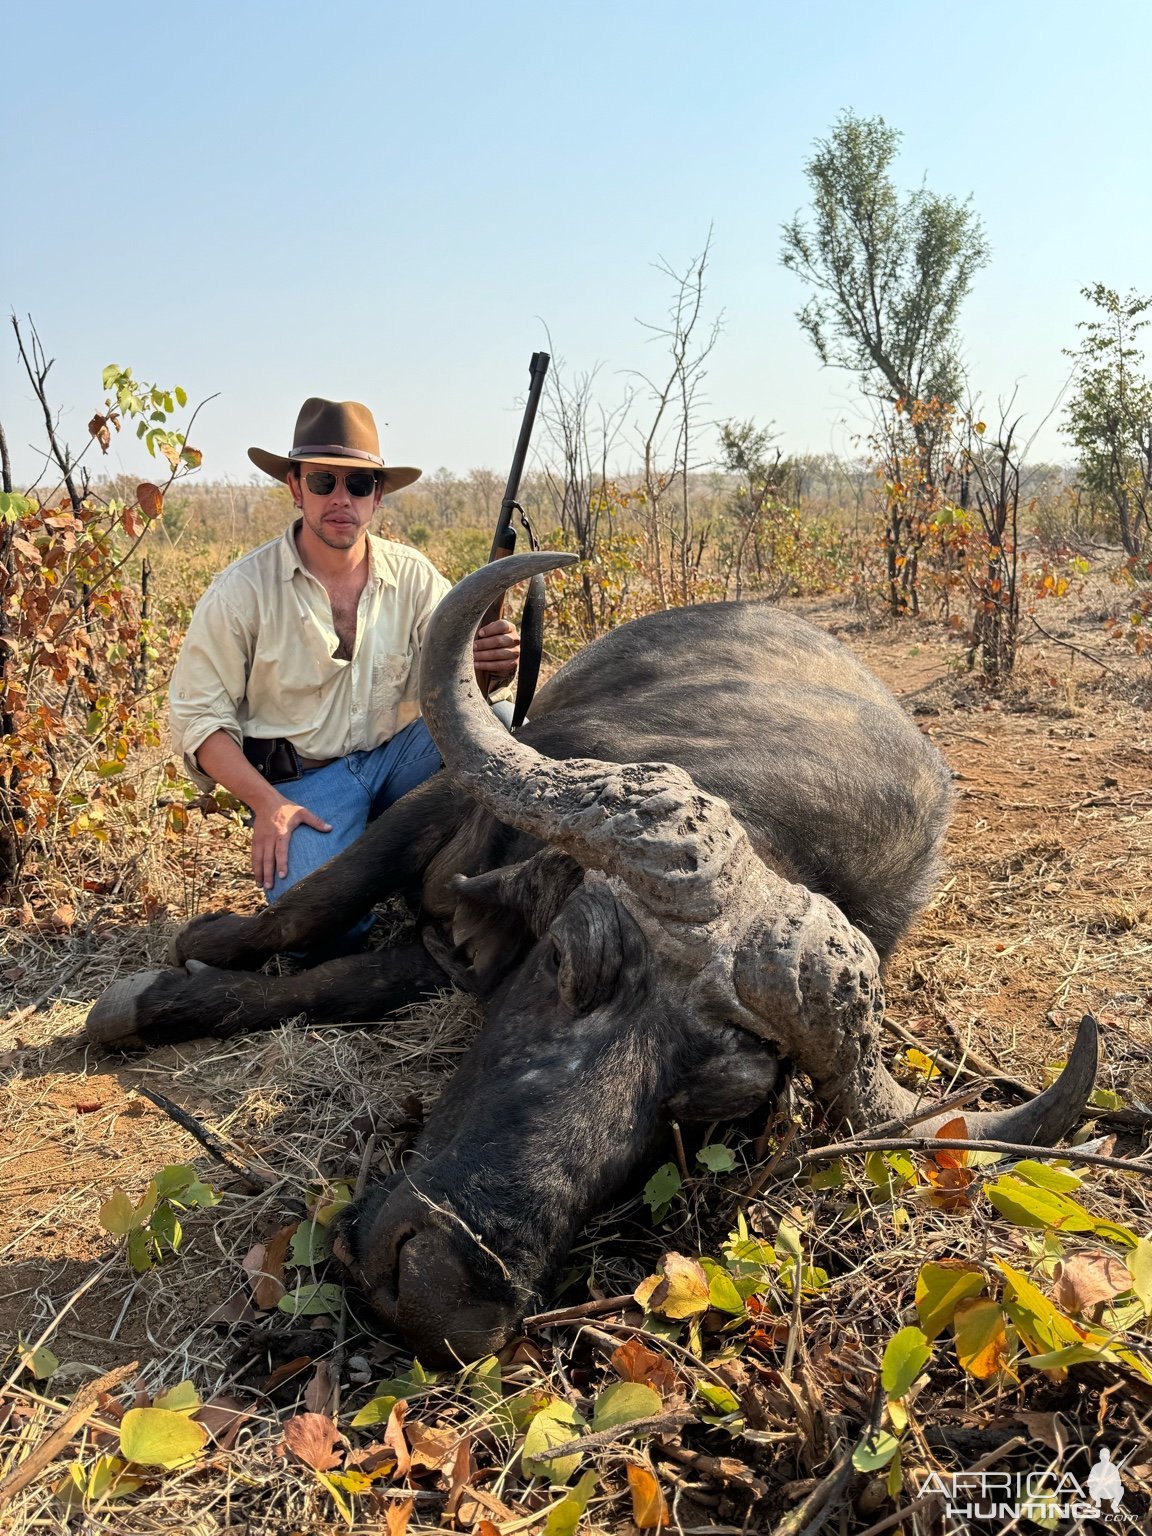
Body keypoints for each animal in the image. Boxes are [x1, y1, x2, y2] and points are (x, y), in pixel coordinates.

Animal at [85, 546, 1093, 1363]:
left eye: (712, 1108)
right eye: (570, 961)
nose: (444, 1289)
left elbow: (353, 980)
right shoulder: (448, 804)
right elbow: (312, 904)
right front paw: (174, 969)